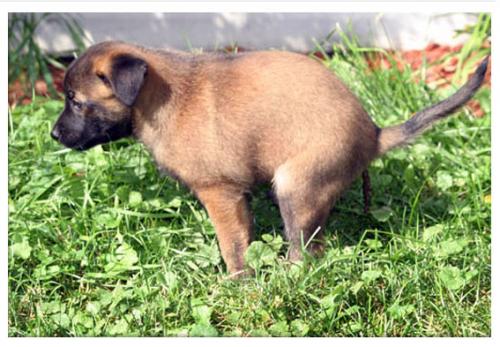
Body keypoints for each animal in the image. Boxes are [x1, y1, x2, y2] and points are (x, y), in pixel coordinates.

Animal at [50, 41, 488, 278]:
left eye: (76, 101)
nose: (54, 135)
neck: (160, 98)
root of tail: (373, 133)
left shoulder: (219, 194)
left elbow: (231, 246)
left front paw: (237, 283)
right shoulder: (235, 197)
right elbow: (243, 237)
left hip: (296, 187)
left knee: (305, 252)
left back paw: (287, 277)